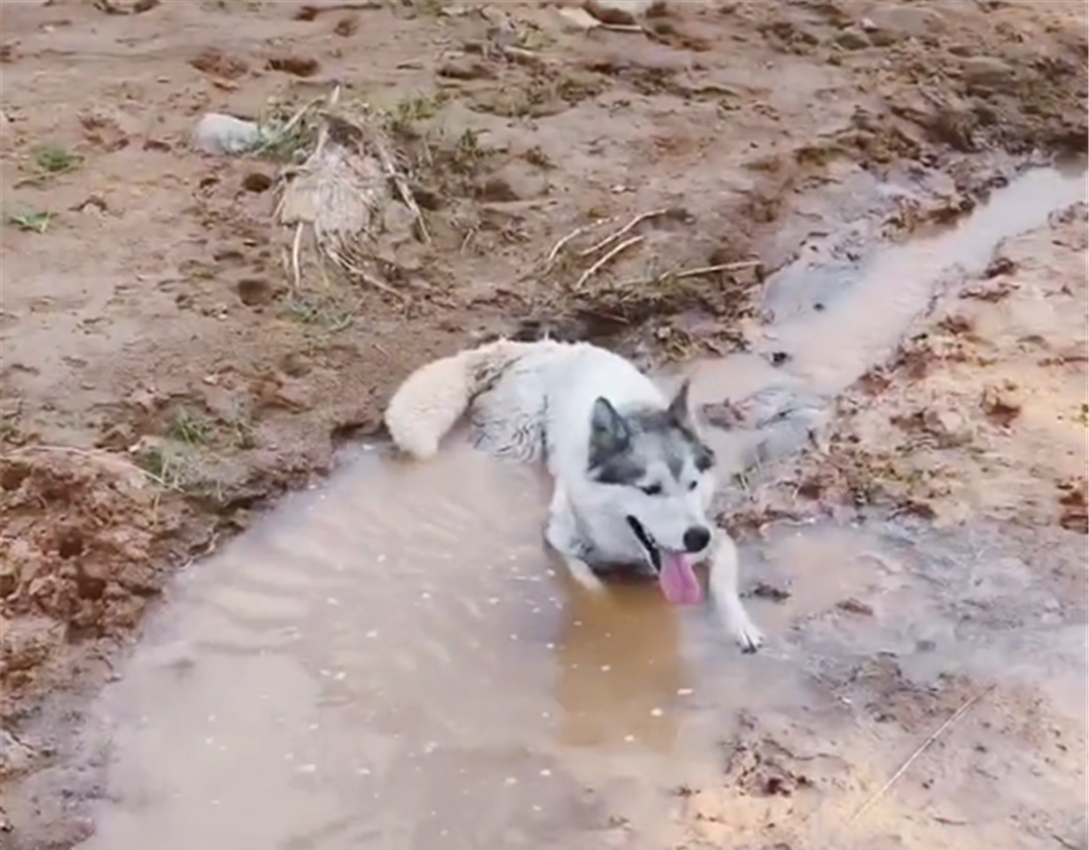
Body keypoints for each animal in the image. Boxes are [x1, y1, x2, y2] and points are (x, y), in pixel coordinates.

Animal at [383, 337, 766, 648]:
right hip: (515, 443)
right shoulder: (557, 540)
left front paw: (742, 626)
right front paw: (613, 618)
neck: (626, 551)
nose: (697, 537)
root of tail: (544, 347)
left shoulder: (717, 541)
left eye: (693, 484)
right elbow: (588, 585)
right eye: (650, 489)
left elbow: (723, 586)